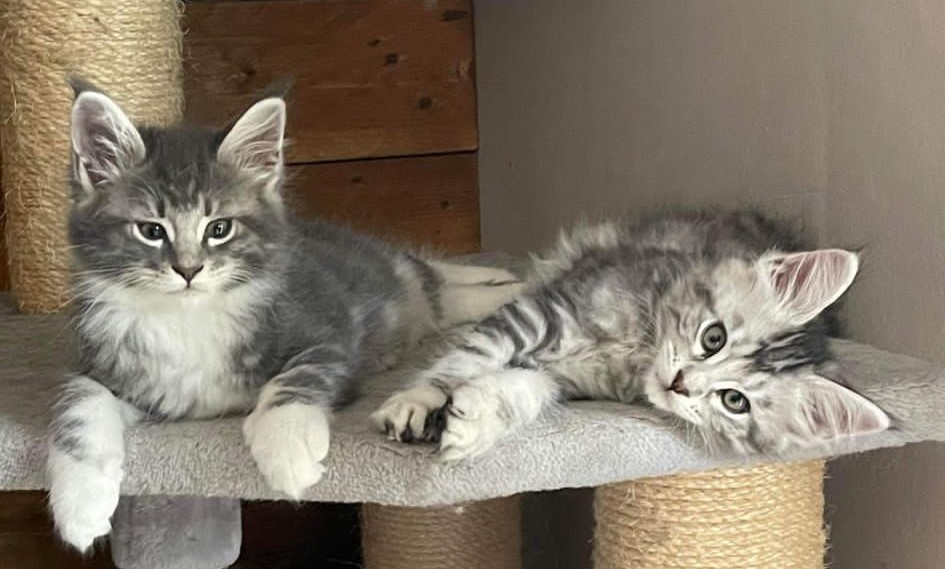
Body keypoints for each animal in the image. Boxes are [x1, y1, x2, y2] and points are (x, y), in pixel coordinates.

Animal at [48, 81, 524, 552]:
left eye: (219, 229)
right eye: (151, 230)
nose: (188, 270)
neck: (187, 318)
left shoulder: (328, 333)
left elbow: (294, 379)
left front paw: (288, 448)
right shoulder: (103, 367)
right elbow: (76, 409)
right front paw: (80, 502)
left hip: (393, 278)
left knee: (436, 278)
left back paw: (510, 282)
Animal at [372, 209, 888, 462]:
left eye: (734, 401)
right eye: (714, 338)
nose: (681, 383)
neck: (638, 346)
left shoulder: (562, 377)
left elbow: (519, 392)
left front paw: (472, 424)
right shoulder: (544, 311)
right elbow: (465, 358)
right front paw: (418, 401)